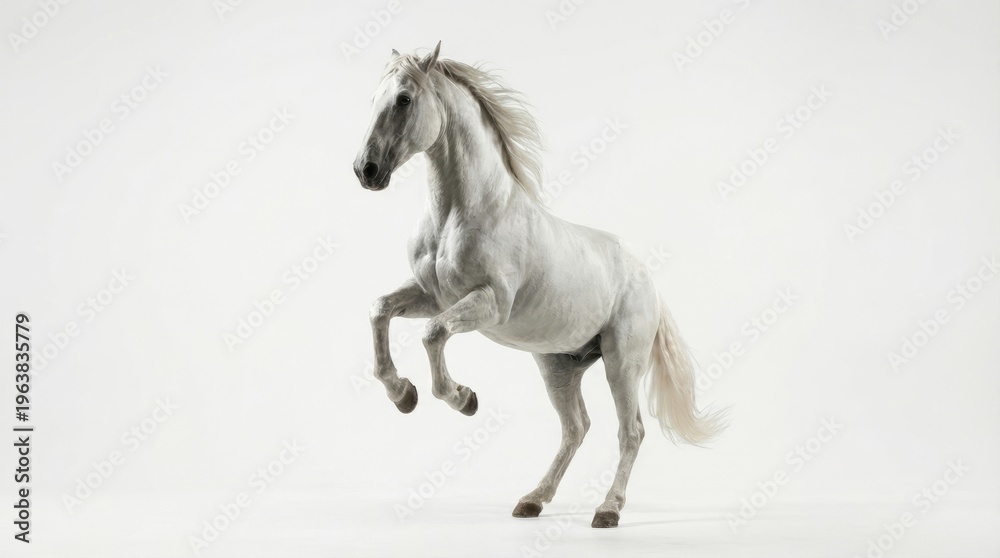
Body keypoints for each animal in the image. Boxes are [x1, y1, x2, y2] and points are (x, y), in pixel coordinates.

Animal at [352, 42, 726, 528]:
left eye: (403, 99)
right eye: (374, 98)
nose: (366, 170)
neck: (459, 214)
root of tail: (647, 281)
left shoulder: (489, 303)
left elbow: (433, 334)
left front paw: (463, 399)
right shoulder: (431, 295)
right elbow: (380, 309)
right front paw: (403, 395)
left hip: (621, 363)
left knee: (631, 431)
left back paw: (607, 510)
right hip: (557, 367)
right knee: (575, 428)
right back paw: (533, 500)